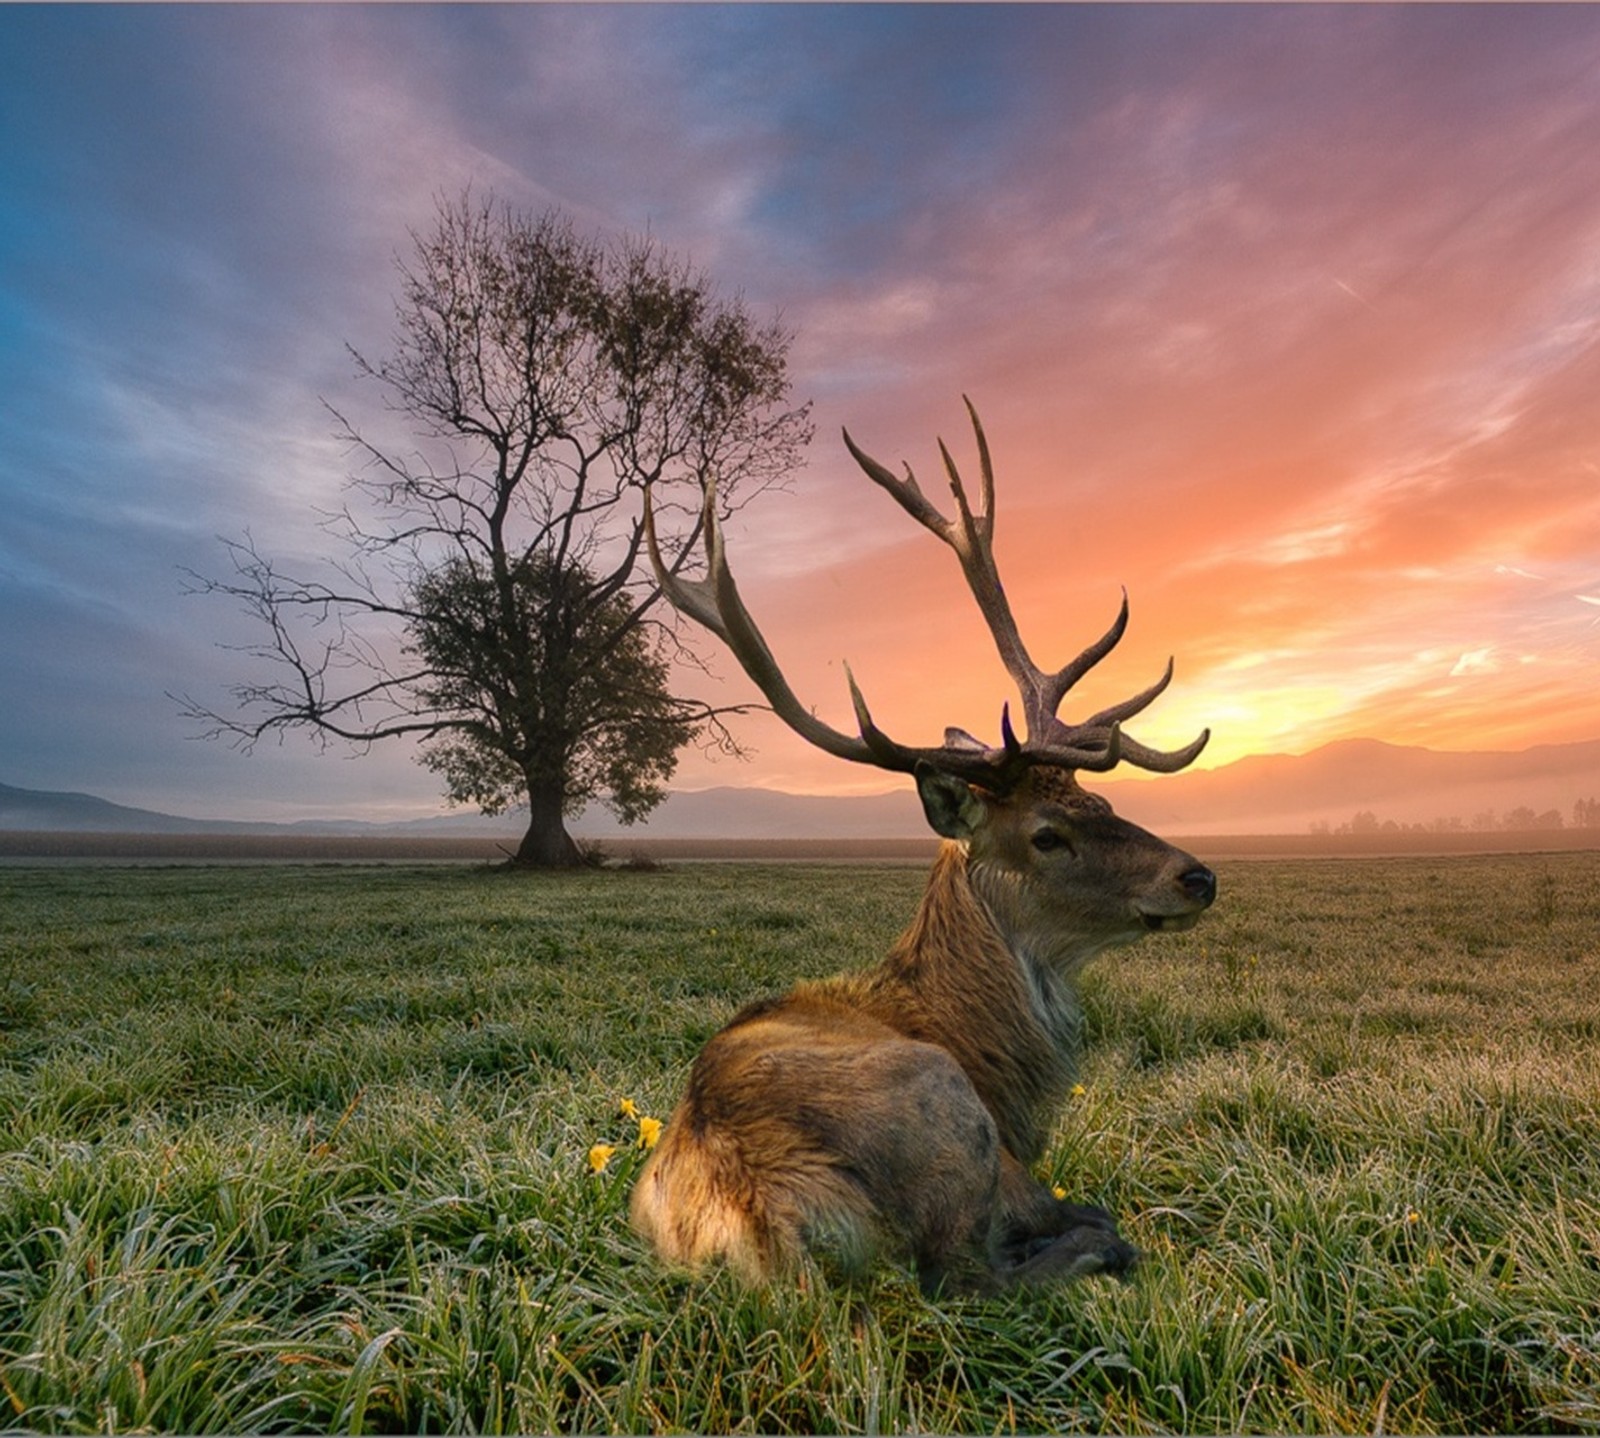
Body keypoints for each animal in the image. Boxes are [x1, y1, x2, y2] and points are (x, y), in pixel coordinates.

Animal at [630, 399, 1203, 1298]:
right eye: (1048, 835)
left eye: (1104, 801)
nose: (1197, 876)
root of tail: (758, 1207)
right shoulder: (1011, 1160)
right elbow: (1081, 1209)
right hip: (944, 1115)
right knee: (966, 1275)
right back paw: (1098, 1252)